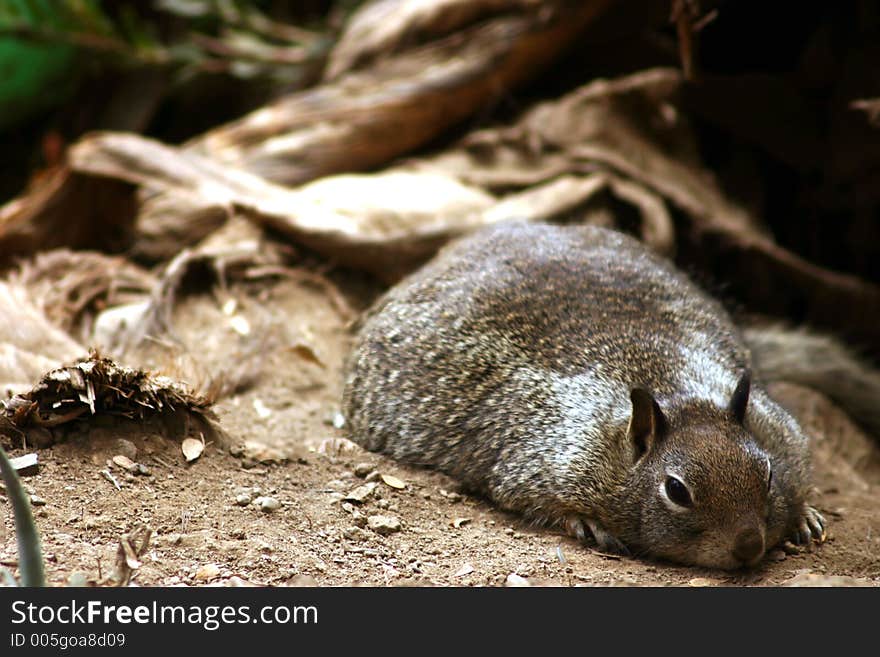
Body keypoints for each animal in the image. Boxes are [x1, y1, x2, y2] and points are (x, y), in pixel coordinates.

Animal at [338, 220, 880, 568]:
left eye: (766, 474)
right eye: (677, 491)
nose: (748, 548)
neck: (677, 392)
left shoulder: (782, 434)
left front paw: (804, 515)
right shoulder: (538, 462)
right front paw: (588, 525)